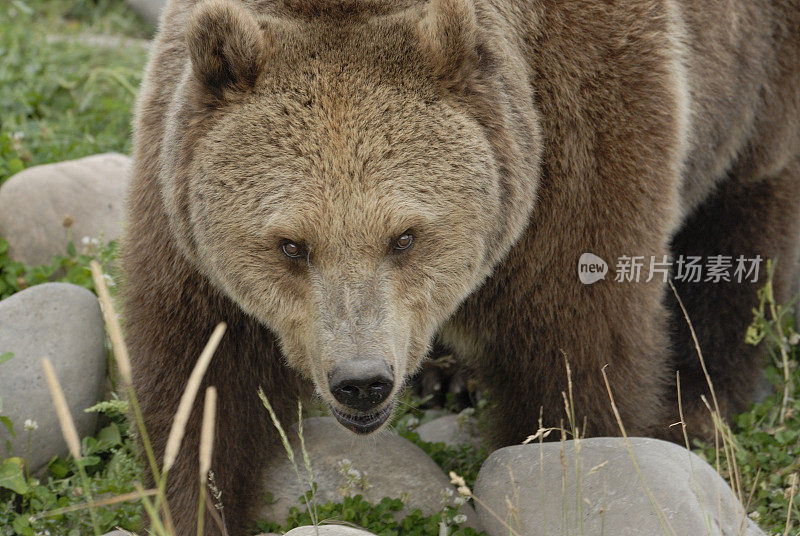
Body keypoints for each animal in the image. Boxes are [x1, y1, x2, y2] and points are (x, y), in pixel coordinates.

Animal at [122, 0, 800, 532]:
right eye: (291, 244)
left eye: (405, 236)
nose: (362, 381)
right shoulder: (182, 210)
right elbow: (202, 382)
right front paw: (194, 505)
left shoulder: (580, 131)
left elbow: (579, 353)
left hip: (756, 76)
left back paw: (699, 403)